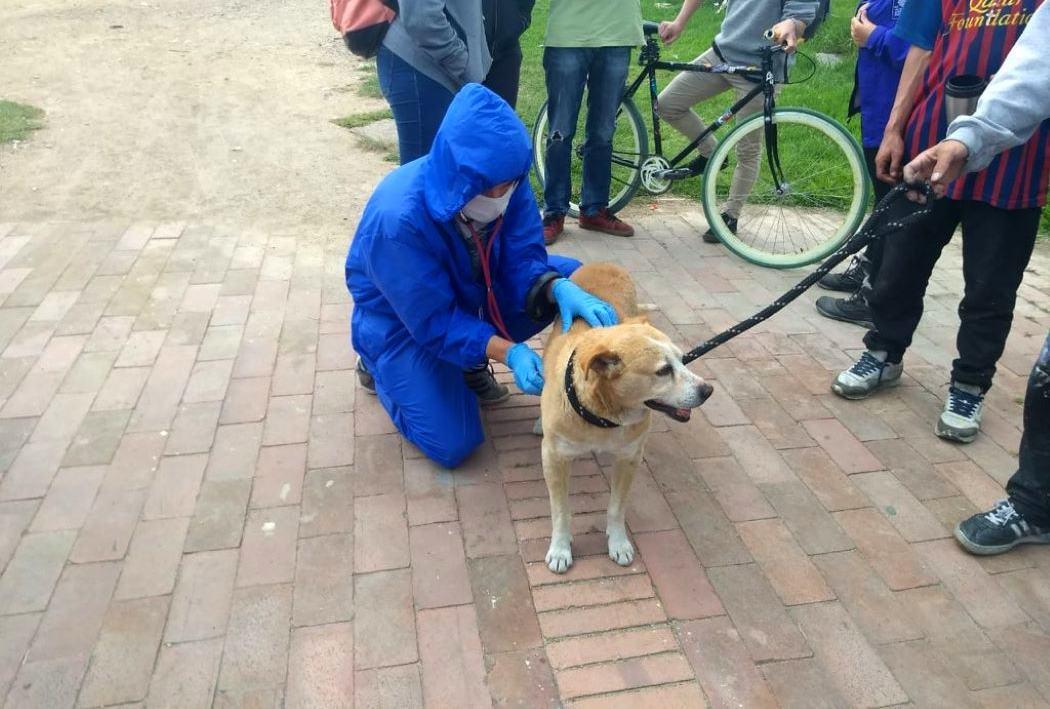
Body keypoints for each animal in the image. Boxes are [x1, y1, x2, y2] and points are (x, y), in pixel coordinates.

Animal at [541, 263, 713, 575]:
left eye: (683, 360)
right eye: (663, 371)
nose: (708, 390)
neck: (602, 417)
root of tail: (604, 262)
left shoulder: (629, 458)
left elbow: (616, 508)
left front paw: (618, 543)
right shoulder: (554, 458)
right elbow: (561, 511)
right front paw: (560, 548)